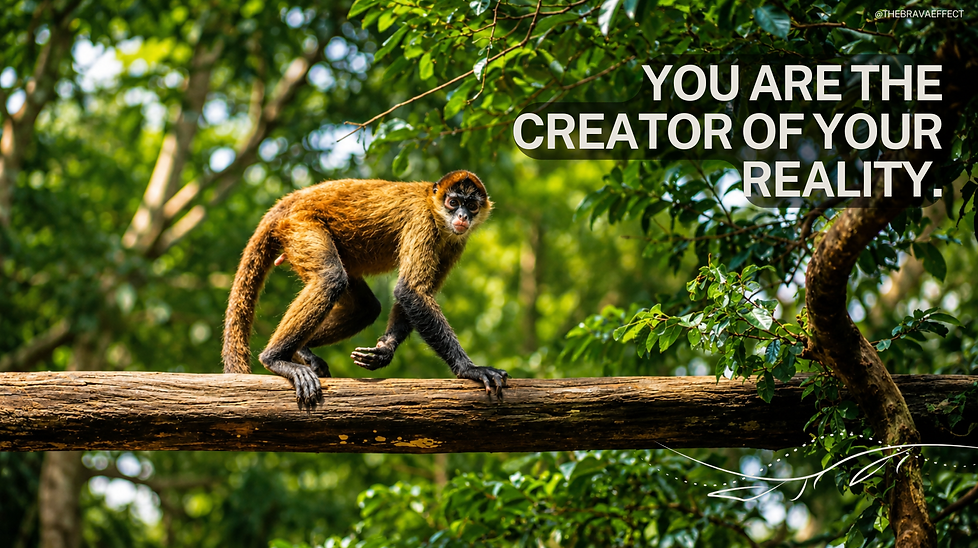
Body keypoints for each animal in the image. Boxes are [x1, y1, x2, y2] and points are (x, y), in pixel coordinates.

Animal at [222, 170, 507, 409]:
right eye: (453, 202)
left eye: (472, 205)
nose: (462, 216)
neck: (431, 202)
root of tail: (290, 201)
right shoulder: (422, 219)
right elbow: (410, 290)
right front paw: (469, 369)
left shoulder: (455, 241)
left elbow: (410, 296)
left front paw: (384, 352)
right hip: (300, 225)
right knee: (331, 278)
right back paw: (275, 359)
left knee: (366, 308)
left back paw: (301, 351)